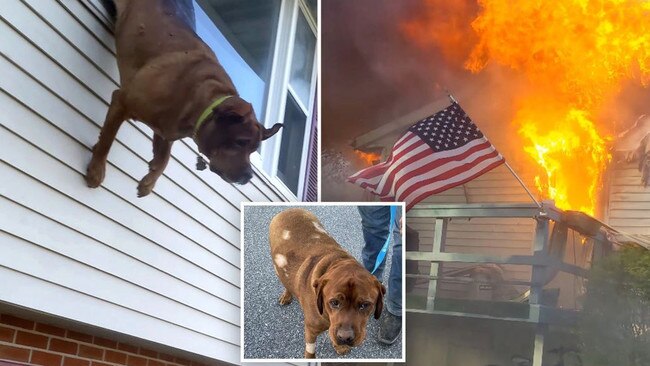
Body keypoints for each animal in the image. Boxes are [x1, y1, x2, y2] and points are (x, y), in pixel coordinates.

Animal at [84, 0, 280, 196]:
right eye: (240, 142)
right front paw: (96, 170)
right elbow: (107, 140)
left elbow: (164, 159)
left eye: (253, 150)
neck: (196, 101)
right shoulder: (121, 101)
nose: (248, 176)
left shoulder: (165, 132)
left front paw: (149, 182)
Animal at [268, 209, 384, 358]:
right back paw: (287, 295)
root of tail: (288, 210)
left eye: (365, 305)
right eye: (334, 302)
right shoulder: (311, 329)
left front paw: (339, 346)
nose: (345, 338)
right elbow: (310, 350)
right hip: (277, 265)